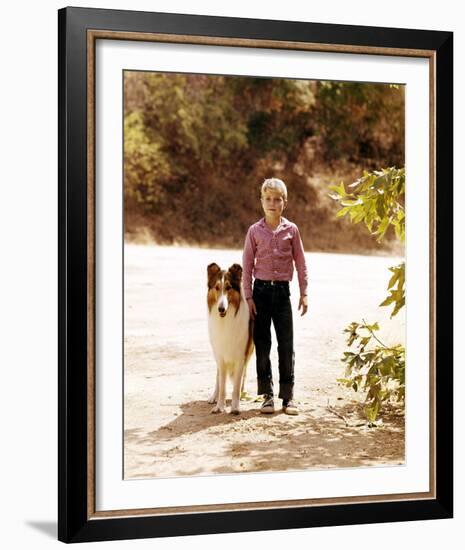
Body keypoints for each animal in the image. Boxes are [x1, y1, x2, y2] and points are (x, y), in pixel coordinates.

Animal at [207, 264, 254, 414]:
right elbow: (222, 384)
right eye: (216, 287)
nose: (221, 309)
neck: (226, 319)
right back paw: (213, 397)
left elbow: (237, 386)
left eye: (228, 287)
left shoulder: (241, 356)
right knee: (218, 377)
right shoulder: (220, 355)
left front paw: (235, 407)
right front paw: (219, 406)